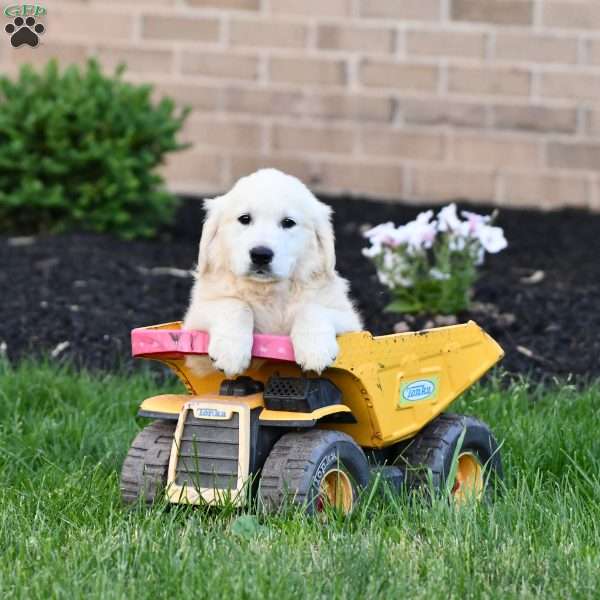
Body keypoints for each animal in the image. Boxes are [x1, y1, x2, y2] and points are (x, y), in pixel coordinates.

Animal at [183, 168, 360, 376]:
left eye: (288, 222)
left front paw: (315, 350)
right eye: (245, 219)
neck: (267, 291)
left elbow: (312, 308)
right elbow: (236, 304)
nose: (261, 255)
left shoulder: (350, 321)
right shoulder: (194, 323)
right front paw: (231, 351)